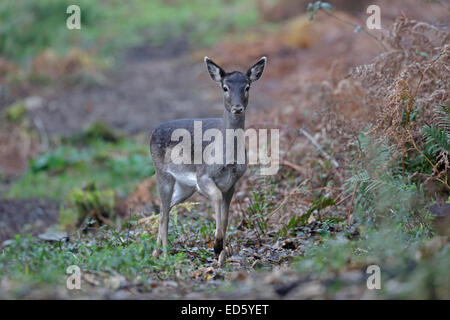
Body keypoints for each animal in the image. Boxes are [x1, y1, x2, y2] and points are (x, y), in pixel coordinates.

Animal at [151, 55, 266, 264]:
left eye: (247, 87)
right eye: (225, 87)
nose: (237, 107)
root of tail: (152, 132)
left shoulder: (232, 183)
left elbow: (226, 217)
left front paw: (221, 257)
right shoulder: (203, 176)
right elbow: (217, 199)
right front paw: (217, 245)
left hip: (185, 187)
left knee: (166, 208)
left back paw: (156, 252)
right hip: (162, 174)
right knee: (163, 212)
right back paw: (164, 254)